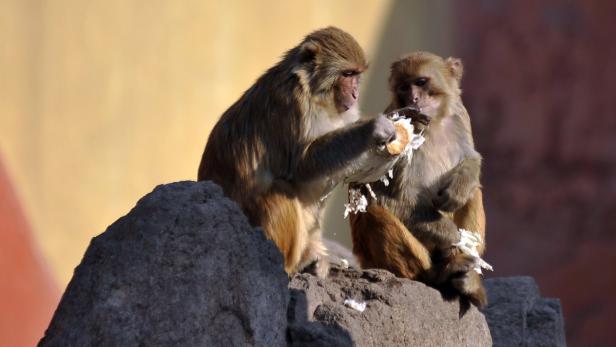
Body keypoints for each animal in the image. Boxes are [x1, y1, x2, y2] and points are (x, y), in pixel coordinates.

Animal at [199, 26, 400, 278]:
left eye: (356, 75)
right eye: (346, 74)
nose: (355, 94)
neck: (316, 94)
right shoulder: (292, 104)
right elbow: (302, 165)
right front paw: (373, 128)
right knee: (281, 190)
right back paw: (294, 263)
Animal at [352, 51, 486, 308]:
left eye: (421, 82)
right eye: (404, 87)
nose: (413, 97)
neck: (434, 122)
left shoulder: (460, 114)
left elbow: (472, 159)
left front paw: (458, 190)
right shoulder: (396, 132)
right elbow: (389, 199)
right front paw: (454, 238)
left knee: (474, 193)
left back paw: (468, 281)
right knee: (372, 213)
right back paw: (435, 275)